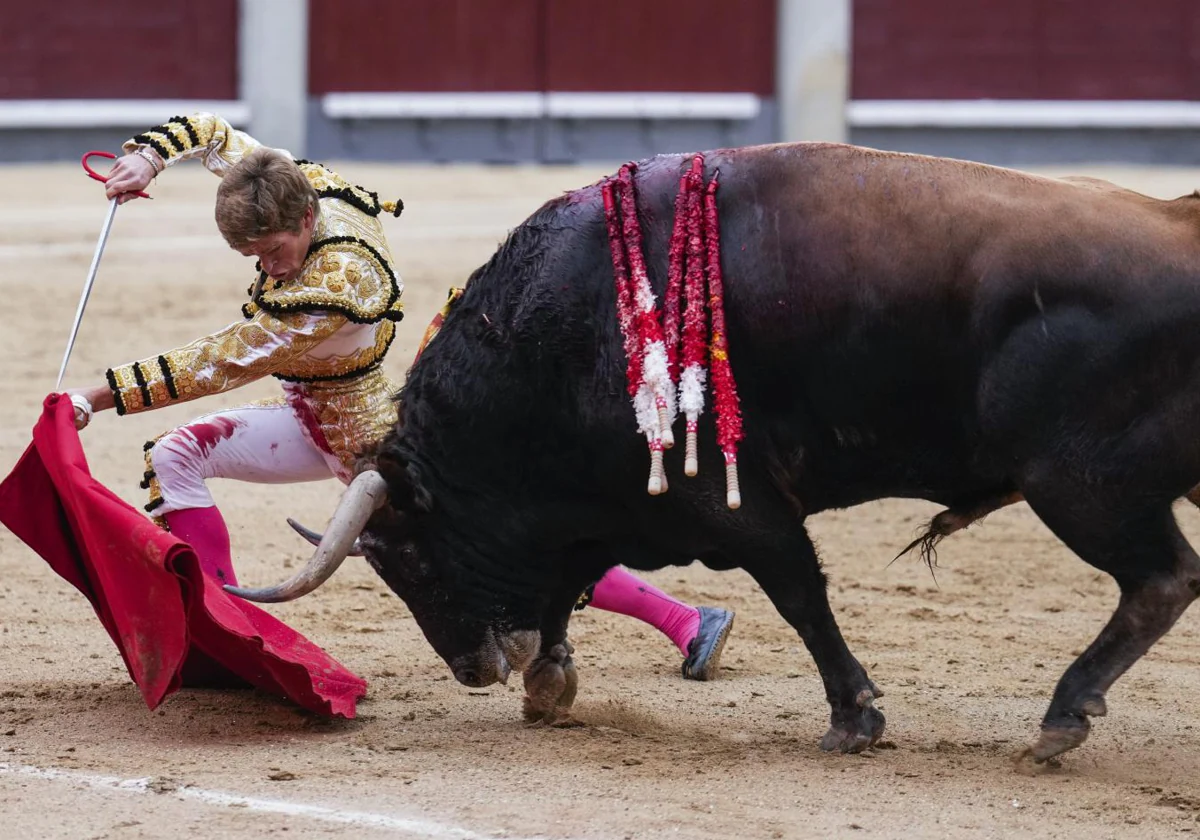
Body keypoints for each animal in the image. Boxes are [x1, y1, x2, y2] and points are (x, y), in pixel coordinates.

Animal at [229, 142, 1200, 763]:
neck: (557, 334)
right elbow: (567, 583)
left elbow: (799, 594)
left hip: (1079, 484)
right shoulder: (611, 504)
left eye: (413, 559)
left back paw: (1061, 719)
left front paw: (854, 718)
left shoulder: (732, 502)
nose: (472, 673)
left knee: (1161, 580)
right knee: (1164, 581)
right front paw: (549, 684)